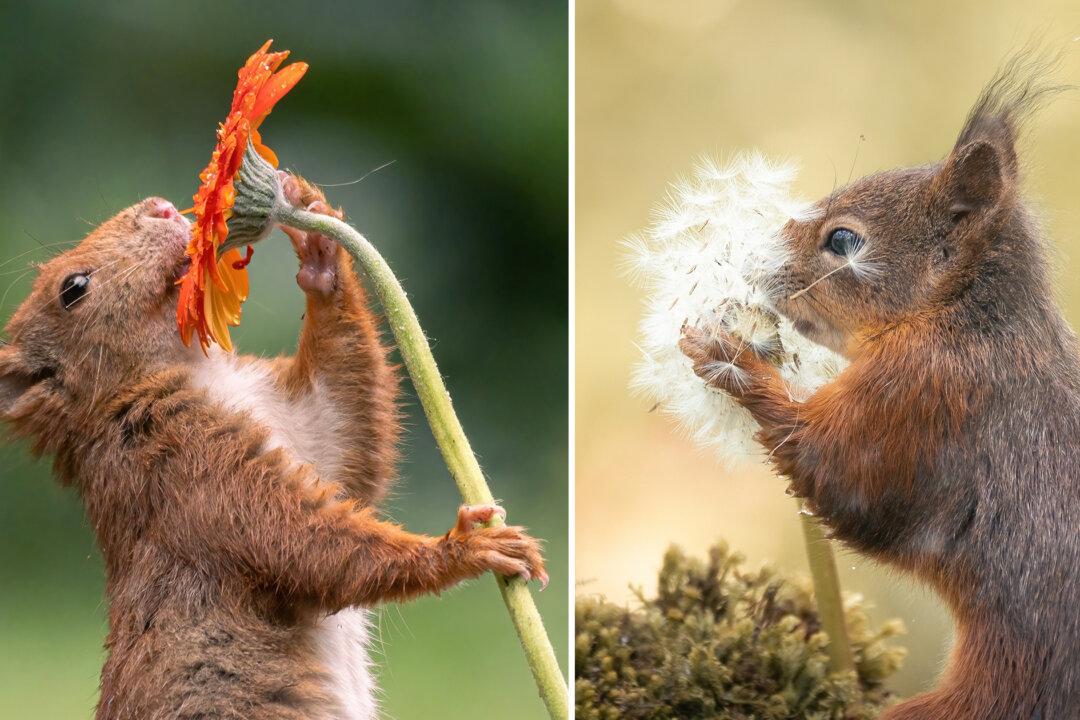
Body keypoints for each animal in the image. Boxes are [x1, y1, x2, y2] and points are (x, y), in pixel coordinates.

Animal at [0, 173, 546, 720]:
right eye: (72, 289)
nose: (160, 207)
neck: (196, 372)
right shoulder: (183, 469)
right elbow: (300, 541)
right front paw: (468, 546)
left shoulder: (302, 426)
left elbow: (345, 435)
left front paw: (319, 248)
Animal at [680, 55, 1080, 719]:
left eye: (843, 240)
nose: (756, 261)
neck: (965, 319)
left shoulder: (921, 397)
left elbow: (836, 471)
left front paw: (726, 353)